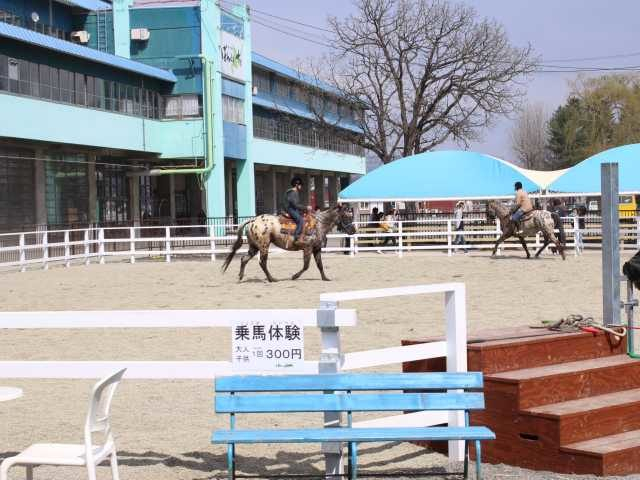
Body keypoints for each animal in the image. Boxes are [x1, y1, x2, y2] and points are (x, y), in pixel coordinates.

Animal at [221, 205, 356, 282]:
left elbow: (320, 265)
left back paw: (240, 277)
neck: (319, 224)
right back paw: (272, 279)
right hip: (264, 246)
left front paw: (325, 278)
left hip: (254, 247)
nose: (353, 231)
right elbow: (306, 266)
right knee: (262, 262)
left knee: (244, 259)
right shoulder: (307, 248)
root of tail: (253, 220)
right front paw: (294, 276)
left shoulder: (317, 249)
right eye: (346, 217)